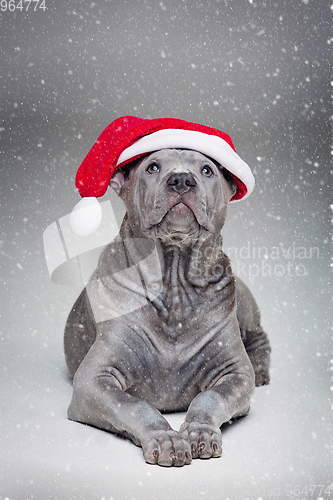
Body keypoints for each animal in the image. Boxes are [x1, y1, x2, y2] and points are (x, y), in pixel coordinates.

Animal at [64, 146, 270, 466]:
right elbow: (132, 404)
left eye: (207, 170)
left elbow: (211, 397)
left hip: (245, 306)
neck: (175, 285)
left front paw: (200, 431)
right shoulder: (91, 381)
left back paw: (260, 367)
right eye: (152, 167)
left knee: (259, 338)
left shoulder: (235, 375)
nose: (182, 180)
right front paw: (165, 438)